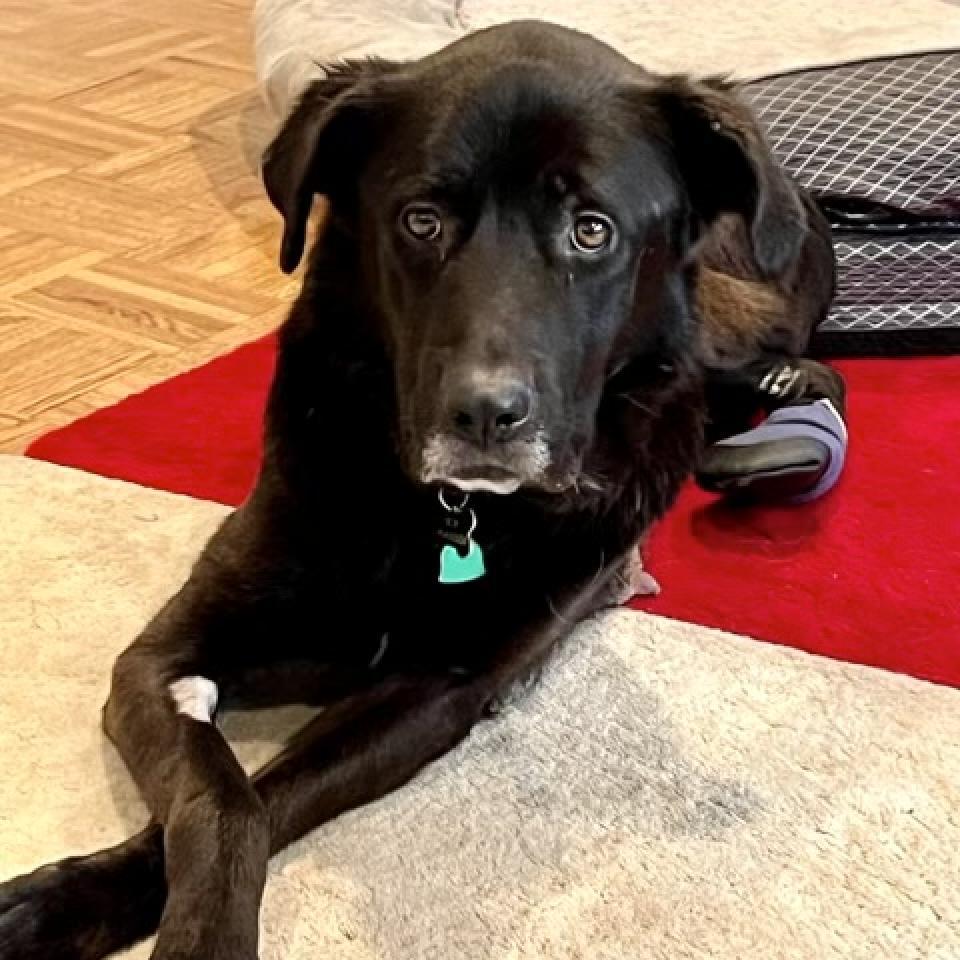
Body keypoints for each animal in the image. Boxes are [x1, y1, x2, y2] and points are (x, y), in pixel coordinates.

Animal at [0, 16, 844, 960]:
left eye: (592, 231)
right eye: (422, 220)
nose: (484, 414)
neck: (440, 513)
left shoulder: (437, 693)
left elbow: (263, 796)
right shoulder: (162, 656)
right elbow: (220, 797)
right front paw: (58, 905)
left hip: (726, 323)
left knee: (778, 371)